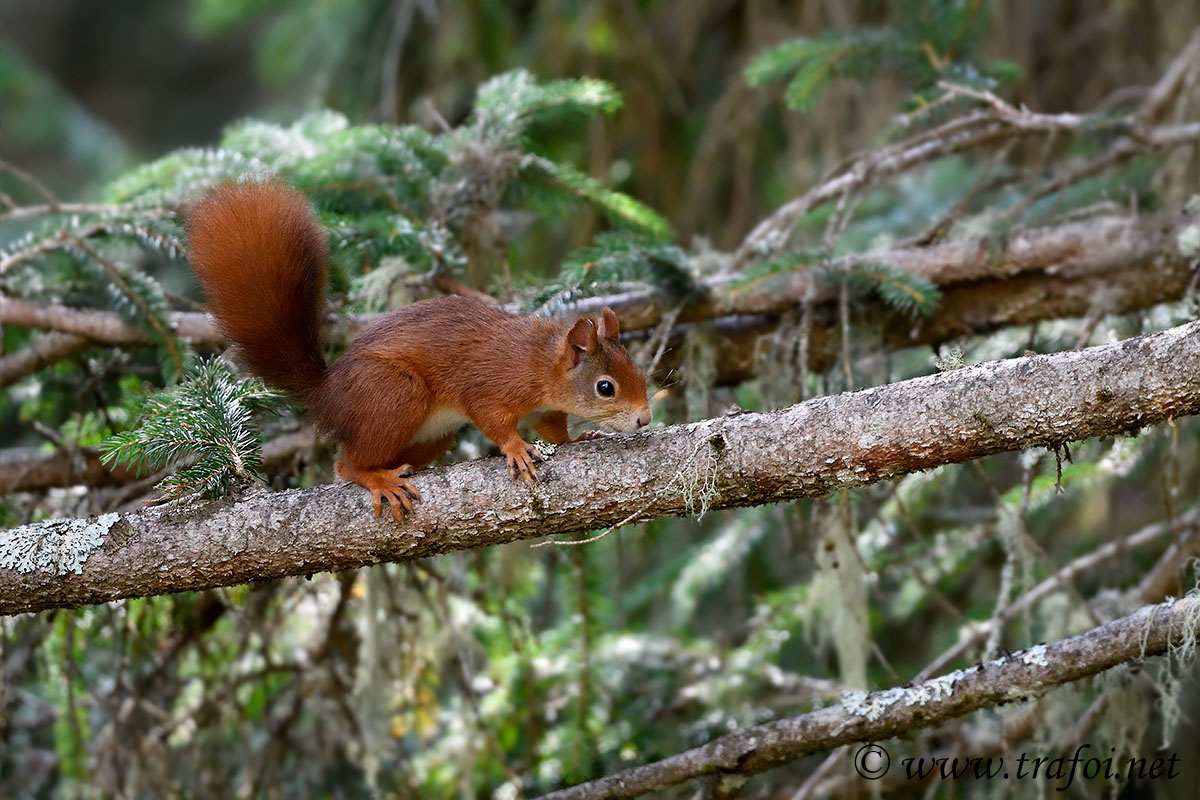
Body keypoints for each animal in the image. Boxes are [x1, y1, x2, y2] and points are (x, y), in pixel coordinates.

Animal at [185, 179, 652, 520]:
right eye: (606, 387)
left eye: (639, 374)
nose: (645, 419)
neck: (540, 363)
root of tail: (327, 395)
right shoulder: (492, 384)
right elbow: (492, 418)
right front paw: (517, 449)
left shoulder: (546, 409)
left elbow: (554, 431)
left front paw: (580, 437)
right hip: (395, 394)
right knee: (346, 466)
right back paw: (381, 481)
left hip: (432, 434)